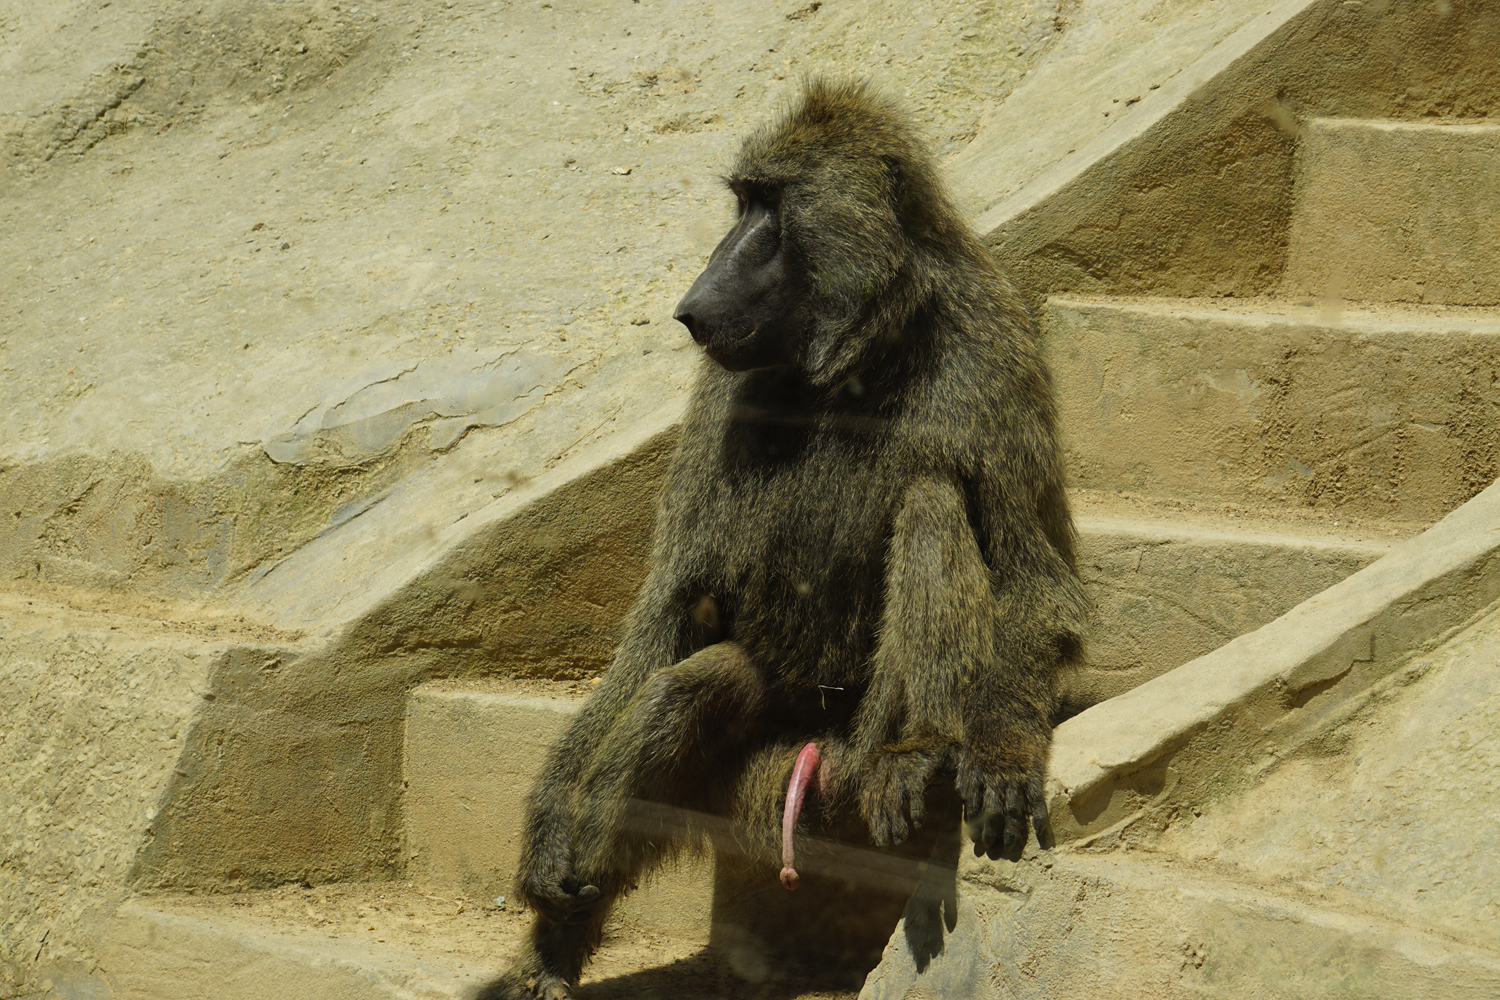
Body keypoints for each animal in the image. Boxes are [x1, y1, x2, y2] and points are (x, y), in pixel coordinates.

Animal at [483, 78, 1087, 1000]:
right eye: (742, 200)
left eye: (769, 206)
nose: (692, 308)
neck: (853, 361)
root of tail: (822, 754)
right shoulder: (717, 395)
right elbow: (668, 607)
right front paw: (550, 837)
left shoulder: (992, 351)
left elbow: (1032, 580)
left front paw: (1003, 750)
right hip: (765, 746)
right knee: (677, 693)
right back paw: (555, 951)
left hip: (850, 751)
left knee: (931, 504)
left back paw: (918, 752)